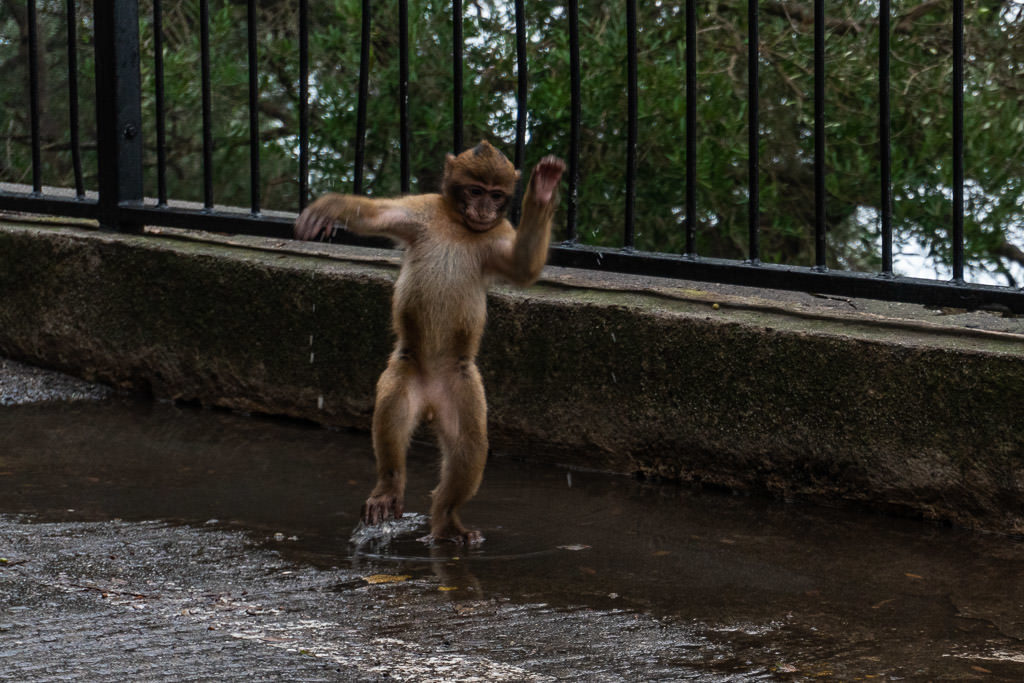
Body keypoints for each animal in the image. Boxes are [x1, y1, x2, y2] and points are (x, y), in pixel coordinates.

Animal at [294, 141, 569, 540]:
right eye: (476, 191)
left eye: (496, 195)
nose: (485, 209)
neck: (459, 224)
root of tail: (430, 399)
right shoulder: (421, 211)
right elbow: (375, 216)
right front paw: (328, 207)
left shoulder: (498, 233)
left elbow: (523, 267)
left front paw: (544, 193)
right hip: (405, 372)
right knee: (391, 418)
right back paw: (389, 487)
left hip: (461, 386)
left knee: (469, 447)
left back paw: (447, 517)